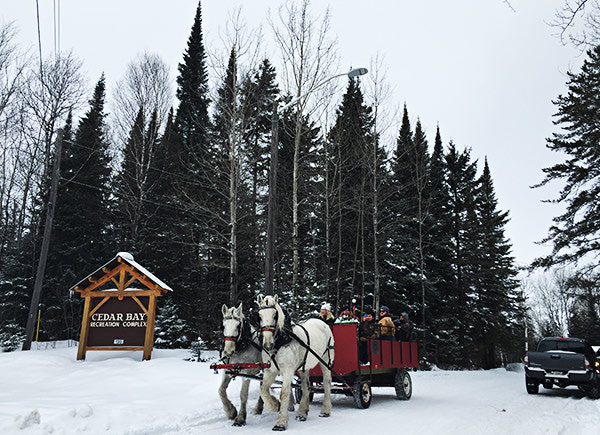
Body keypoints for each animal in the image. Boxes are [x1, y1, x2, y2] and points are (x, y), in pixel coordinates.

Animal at [255, 294, 336, 430]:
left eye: (275, 315)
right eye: (259, 316)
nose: (268, 344)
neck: (282, 340)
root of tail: (322, 323)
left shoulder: (288, 370)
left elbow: (284, 393)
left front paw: (281, 422)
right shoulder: (270, 370)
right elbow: (263, 390)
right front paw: (274, 405)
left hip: (326, 359)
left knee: (326, 383)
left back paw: (325, 410)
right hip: (304, 366)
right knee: (306, 386)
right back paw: (302, 413)